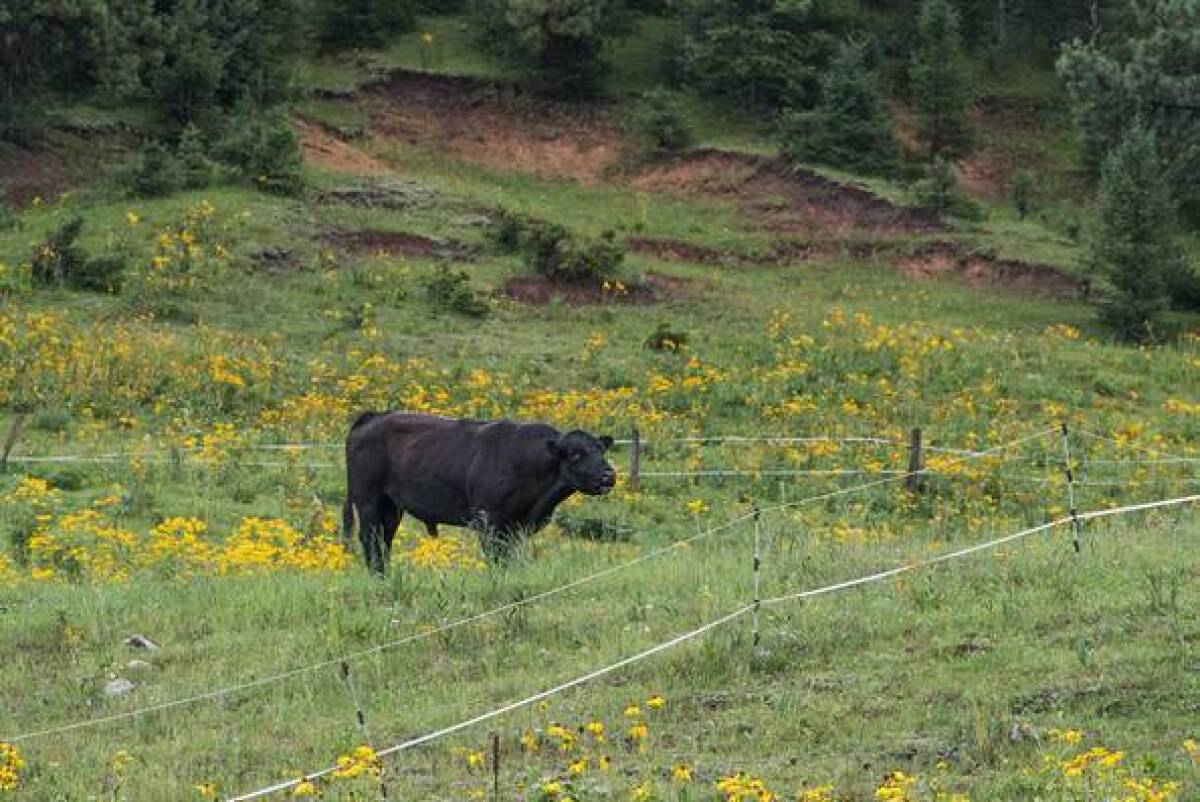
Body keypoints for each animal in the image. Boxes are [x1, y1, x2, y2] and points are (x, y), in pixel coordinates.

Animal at [343, 413, 614, 569]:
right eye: (576, 454)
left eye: (601, 450)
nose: (609, 475)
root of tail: (374, 416)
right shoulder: (488, 520)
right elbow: (496, 558)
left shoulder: (515, 526)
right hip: (368, 500)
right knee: (369, 539)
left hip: (391, 506)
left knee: (384, 540)